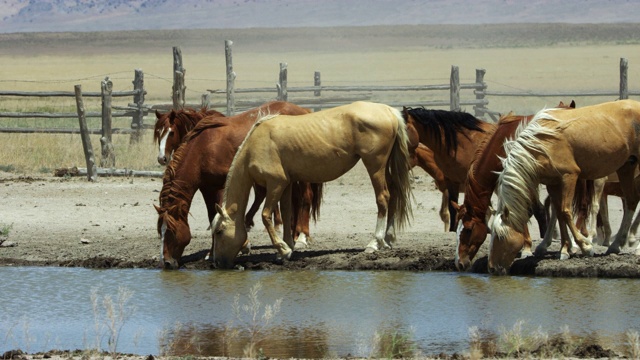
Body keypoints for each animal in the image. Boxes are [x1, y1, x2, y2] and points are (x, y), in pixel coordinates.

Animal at [155, 101, 320, 270]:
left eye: (171, 231)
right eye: (160, 232)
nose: (166, 262)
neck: (204, 150)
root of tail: (303, 110)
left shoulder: (222, 186)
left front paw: (241, 244)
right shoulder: (207, 187)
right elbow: (212, 217)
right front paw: (213, 252)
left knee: (305, 199)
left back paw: (301, 238)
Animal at [209, 100, 410, 268]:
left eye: (219, 231)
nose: (216, 263)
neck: (256, 144)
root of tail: (388, 110)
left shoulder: (275, 184)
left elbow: (266, 216)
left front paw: (284, 249)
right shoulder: (286, 185)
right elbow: (287, 212)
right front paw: (287, 247)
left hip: (375, 165)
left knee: (383, 197)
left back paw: (374, 242)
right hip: (385, 166)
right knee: (394, 194)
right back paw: (388, 238)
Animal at [492, 100, 640, 274]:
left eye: (500, 236)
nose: (491, 268)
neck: (542, 142)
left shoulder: (569, 176)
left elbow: (565, 211)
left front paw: (585, 246)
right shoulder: (553, 182)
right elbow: (558, 212)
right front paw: (565, 249)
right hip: (627, 167)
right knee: (631, 201)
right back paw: (616, 245)